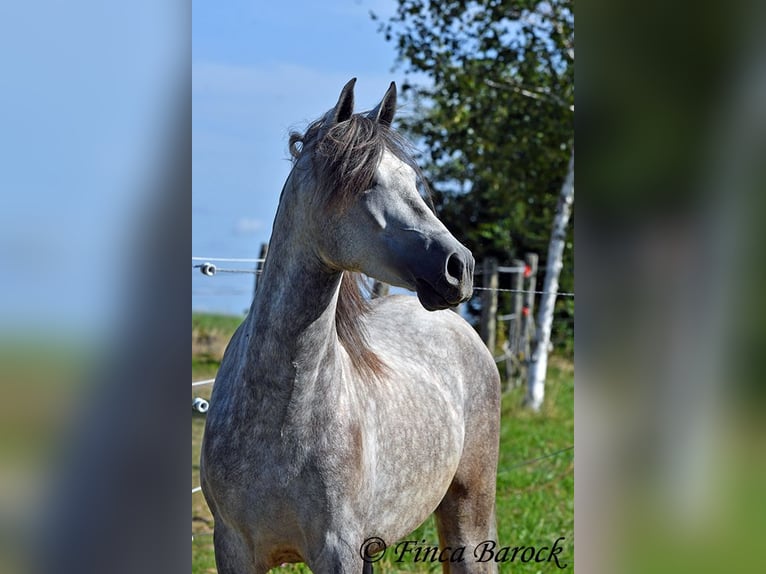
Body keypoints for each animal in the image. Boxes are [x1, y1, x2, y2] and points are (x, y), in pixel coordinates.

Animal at [201, 79, 500, 572]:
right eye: (365, 181)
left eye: (413, 183)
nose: (460, 267)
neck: (279, 417)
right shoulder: (234, 548)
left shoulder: (337, 549)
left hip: (469, 510)